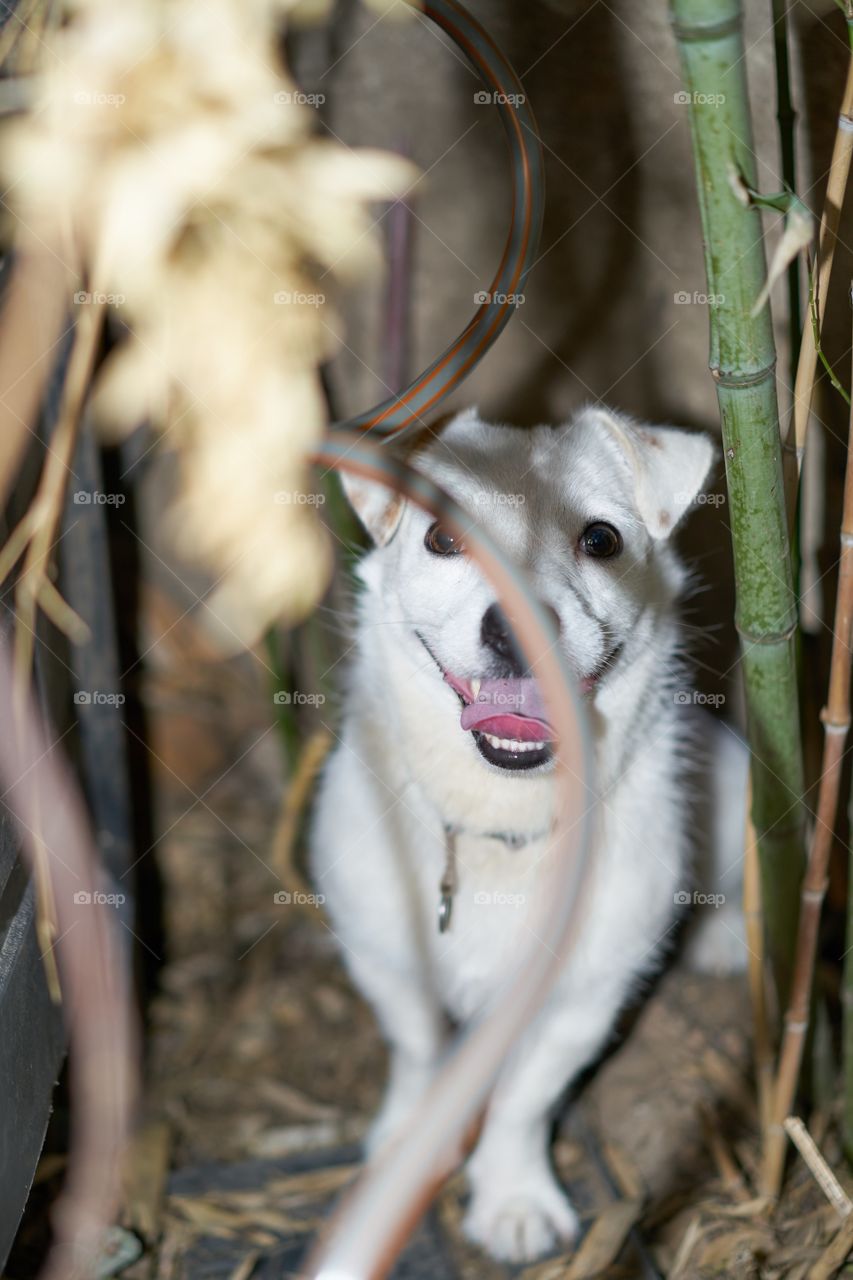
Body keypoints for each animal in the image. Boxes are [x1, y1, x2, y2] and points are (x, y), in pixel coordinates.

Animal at [307, 407, 742, 1259]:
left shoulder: (582, 1000)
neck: (498, 822)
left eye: (600, 539)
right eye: (442, 536)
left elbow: (521, 1102)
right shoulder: (386, 962)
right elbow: (416, 1050)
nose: (517, 625)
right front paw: (409, 1139)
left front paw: (511, 1197)